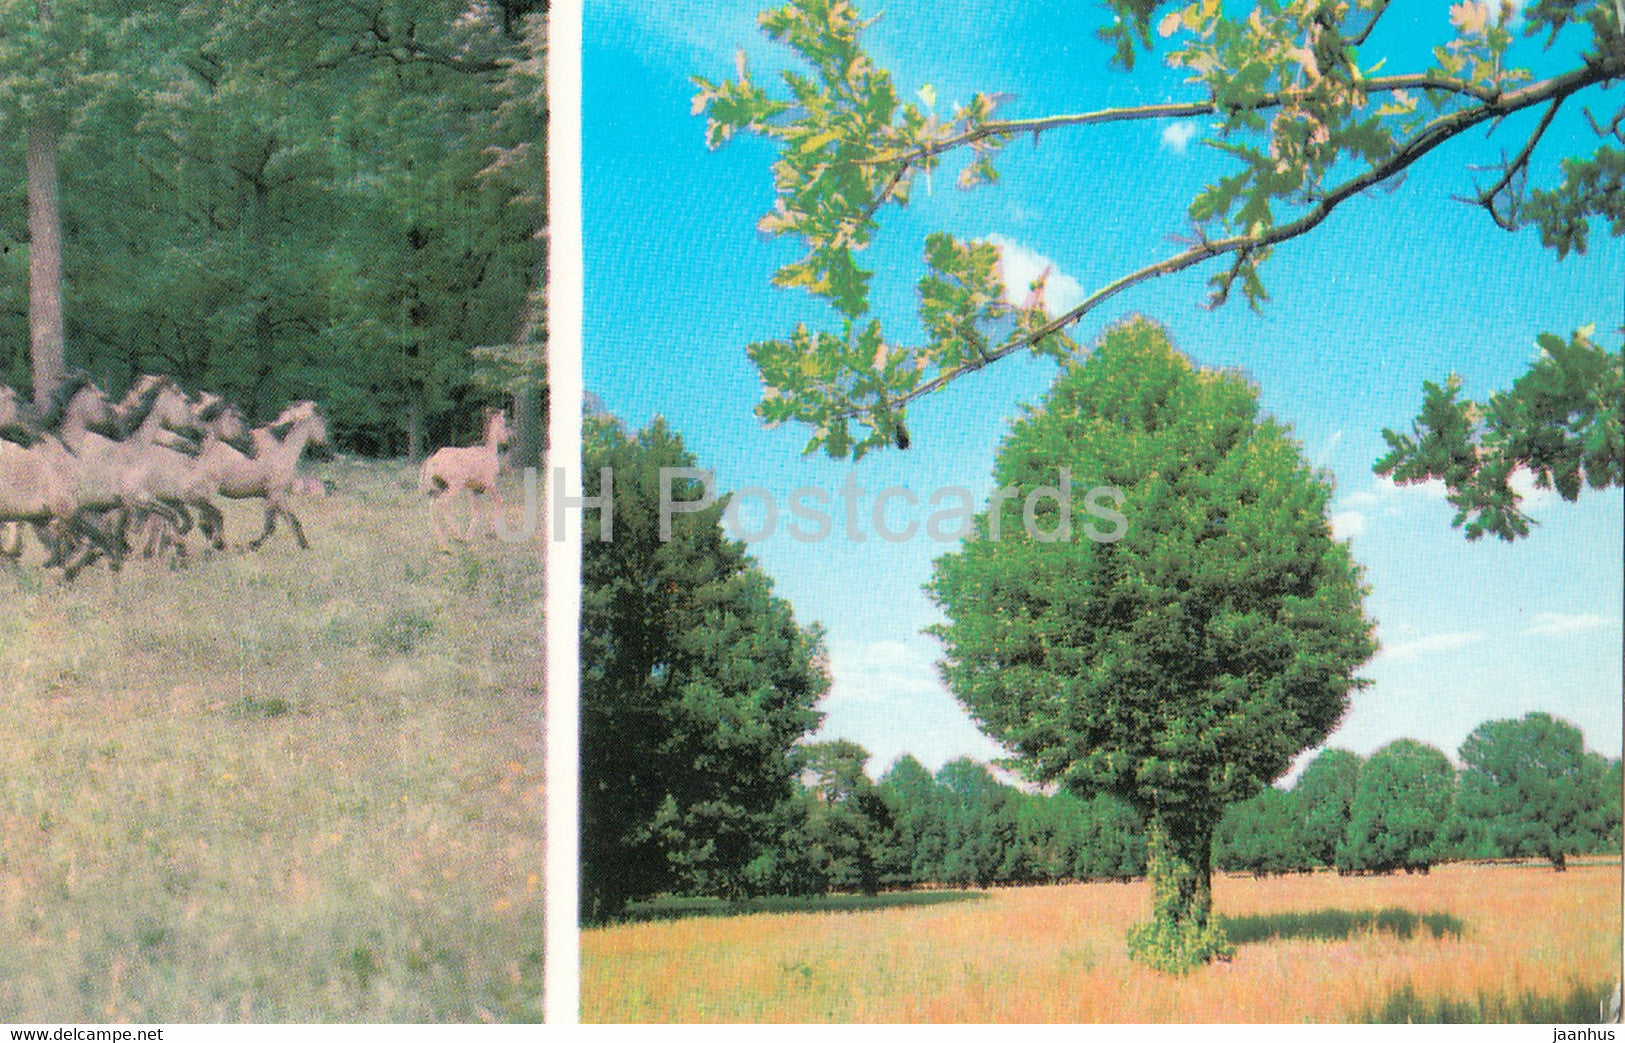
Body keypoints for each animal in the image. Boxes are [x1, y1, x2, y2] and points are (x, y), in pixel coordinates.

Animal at [419, 407, 510, 546]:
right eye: (503, 422)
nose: (506, 438)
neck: (489, 451)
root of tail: (432, 461)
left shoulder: (475, 489)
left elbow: (475, 511)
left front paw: (470, 536)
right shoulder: (490, 483)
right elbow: (500, 502)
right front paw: (494, 533)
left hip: (440, 487)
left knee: (432, 505)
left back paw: (443, 541)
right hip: (454, 485)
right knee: (442, 504)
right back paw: (457, 536)